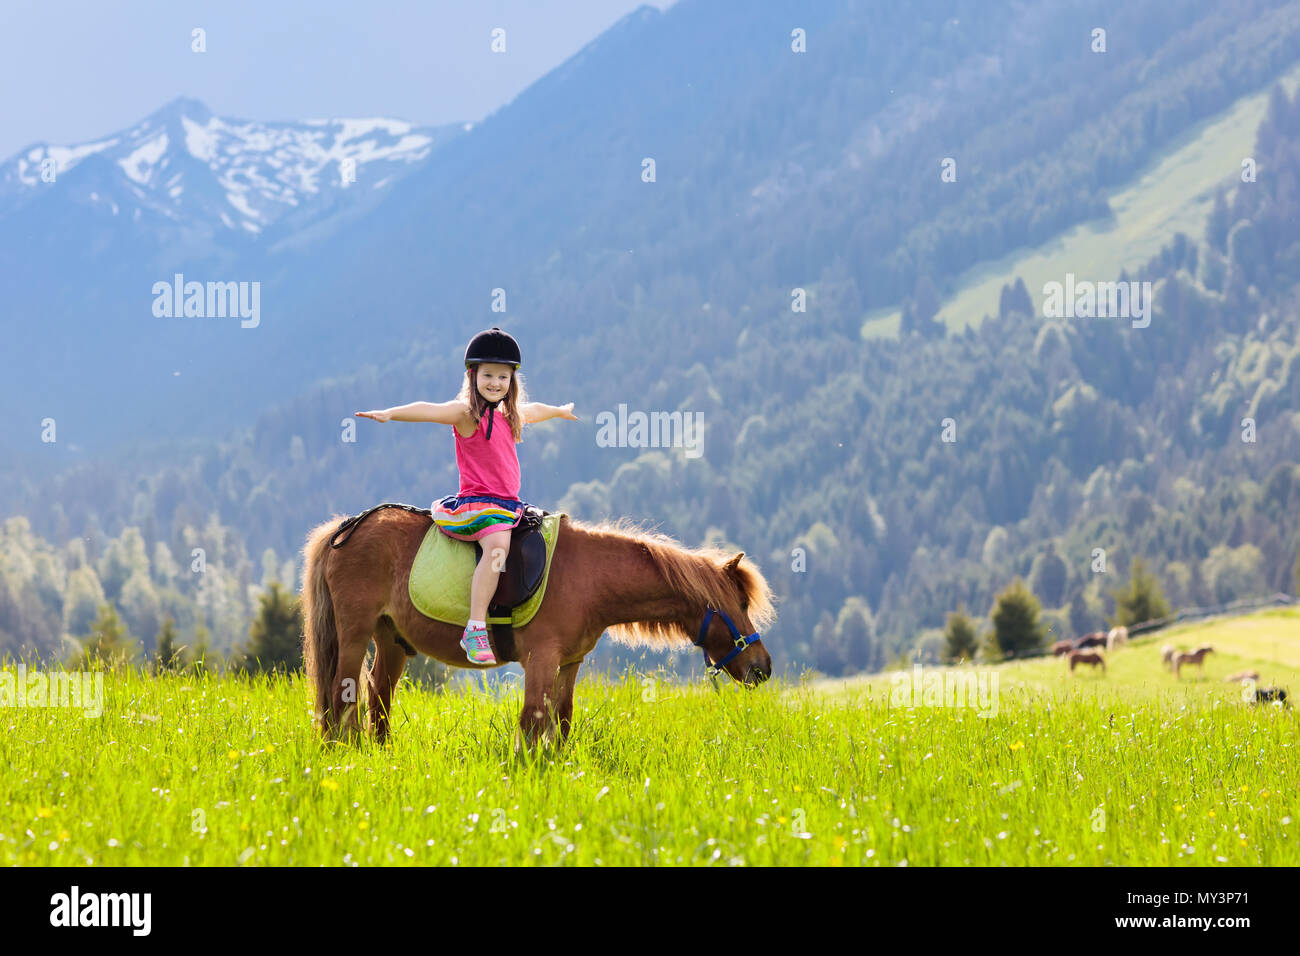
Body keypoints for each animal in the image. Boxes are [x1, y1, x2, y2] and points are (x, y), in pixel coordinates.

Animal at [300, 510, 775, 749]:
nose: (762, 667)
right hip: (355, 634)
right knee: (341, 696)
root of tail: (345, 529)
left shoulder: (569, 663)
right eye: (740, 605)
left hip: (392, 639)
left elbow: (560, 719)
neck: (588, 577)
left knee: (378, 696)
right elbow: (532, 720)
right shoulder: (541, 660)